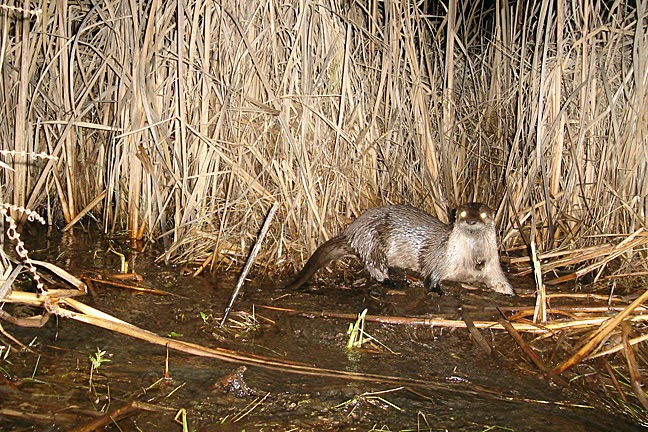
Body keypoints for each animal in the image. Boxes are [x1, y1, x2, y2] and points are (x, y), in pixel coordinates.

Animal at [286, 203, 515, 295]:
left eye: (483, 215)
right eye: (464, 214)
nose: (473, 221)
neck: (473, 261)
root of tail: (352, 230)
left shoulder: (493, 268)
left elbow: (502, 284)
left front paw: (511, 294)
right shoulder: (440, 261)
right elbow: (432, 278)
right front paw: (439, 291)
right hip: (372, 242)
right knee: (376, 267)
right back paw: (392, 281)